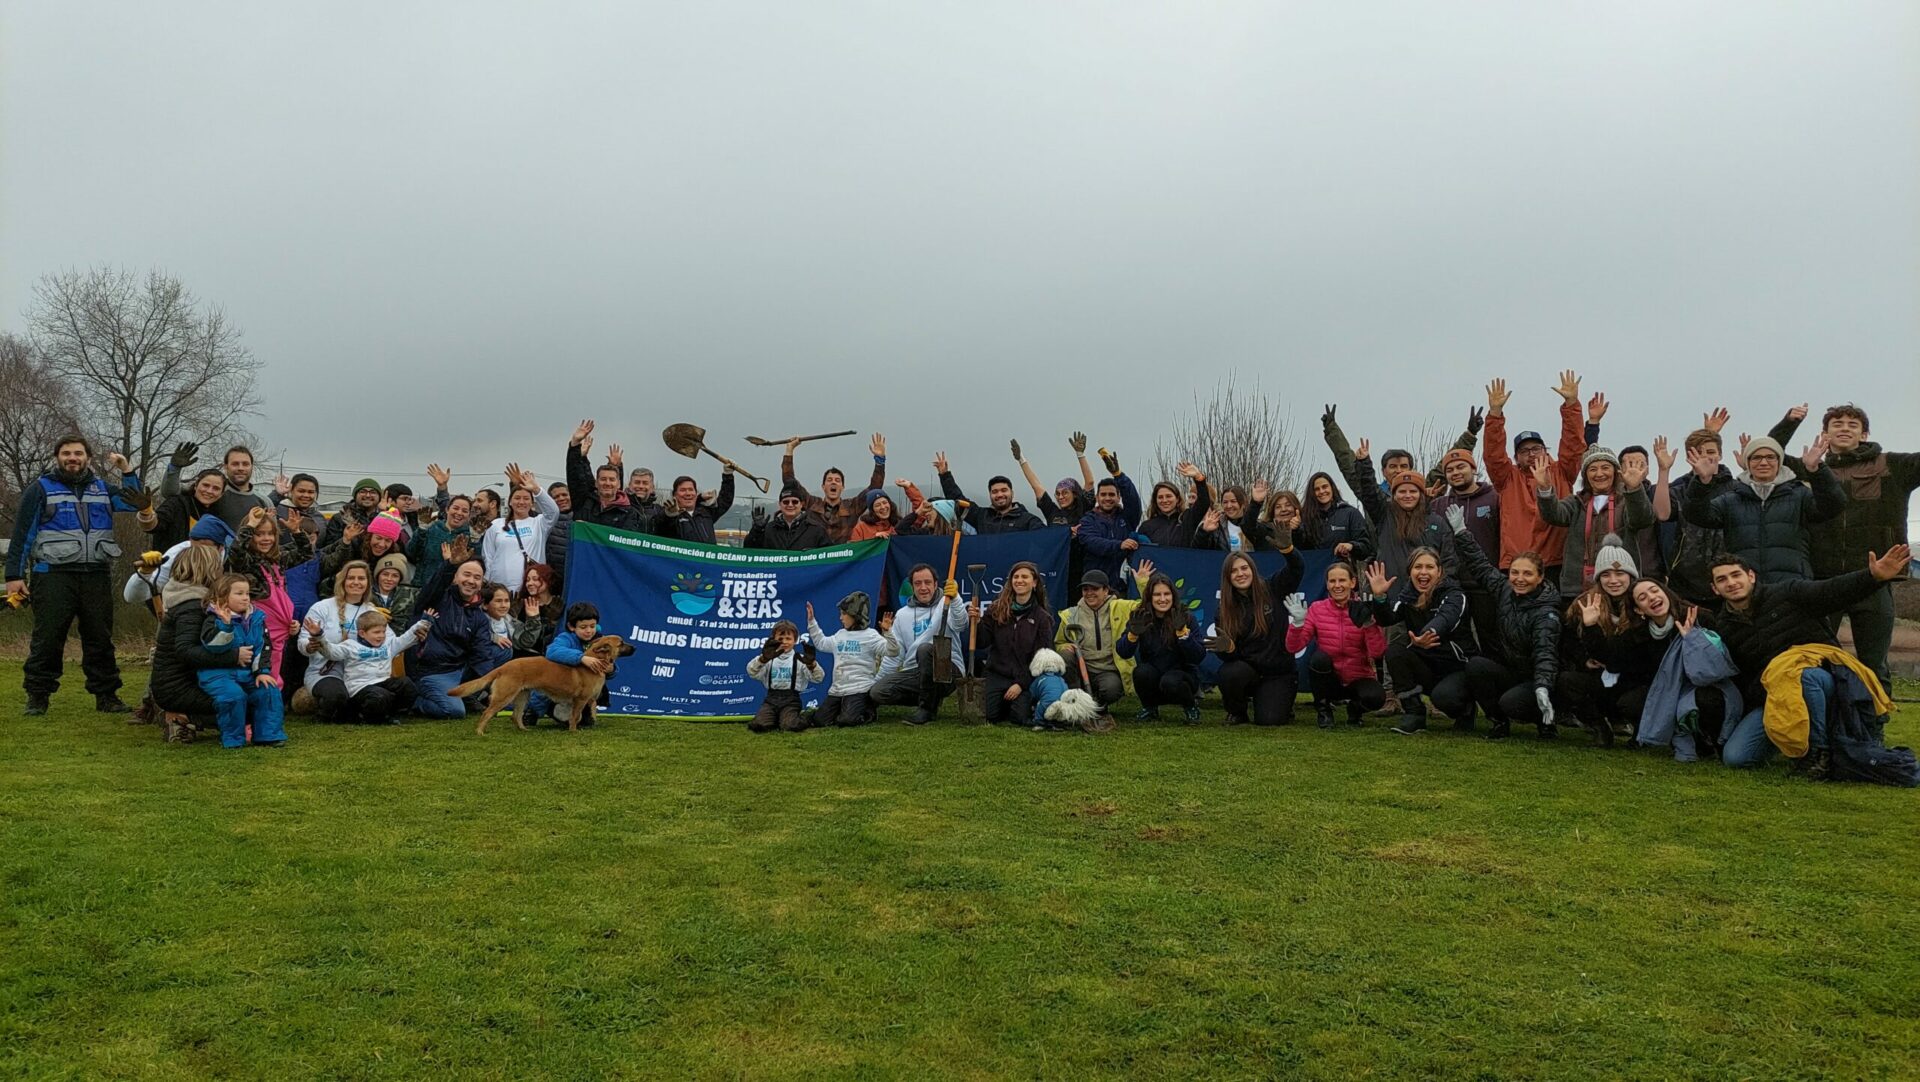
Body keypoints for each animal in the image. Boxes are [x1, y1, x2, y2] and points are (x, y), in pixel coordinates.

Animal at [445, 633, 633, 736]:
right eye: (621, 643)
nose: (636, 648)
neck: (594, 661)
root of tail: (504, 666)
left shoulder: (586, 700)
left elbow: (588, 711)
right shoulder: (579, 700)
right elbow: (575, 717)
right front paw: (573, 731)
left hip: (523, 696)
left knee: (516, 716)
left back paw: (523, 730)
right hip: (504, 697)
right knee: (487, 713)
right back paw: (480, 732)